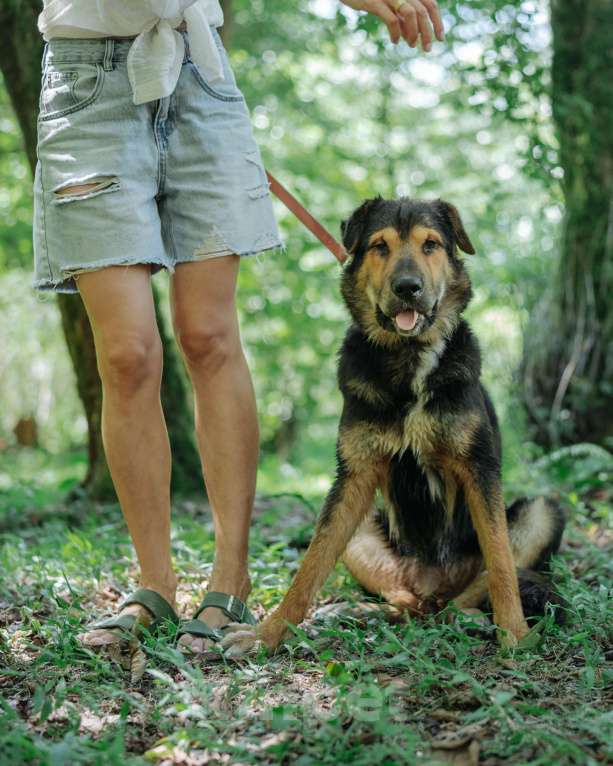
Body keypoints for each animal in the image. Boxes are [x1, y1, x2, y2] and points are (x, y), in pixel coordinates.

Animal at [221, 195, 564, 656]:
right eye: (380, 246)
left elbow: (501, 562)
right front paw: (268, 634)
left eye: (431, 244)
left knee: (468, 592)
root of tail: (432, 587)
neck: (409, 360)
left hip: (541, 512)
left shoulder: (480, 469)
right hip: (365, 531)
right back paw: (354, 611)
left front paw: (515, 635)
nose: (407, 288)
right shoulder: (353, 477)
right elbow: (311, 564)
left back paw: (469, 617)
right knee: (403, 600)